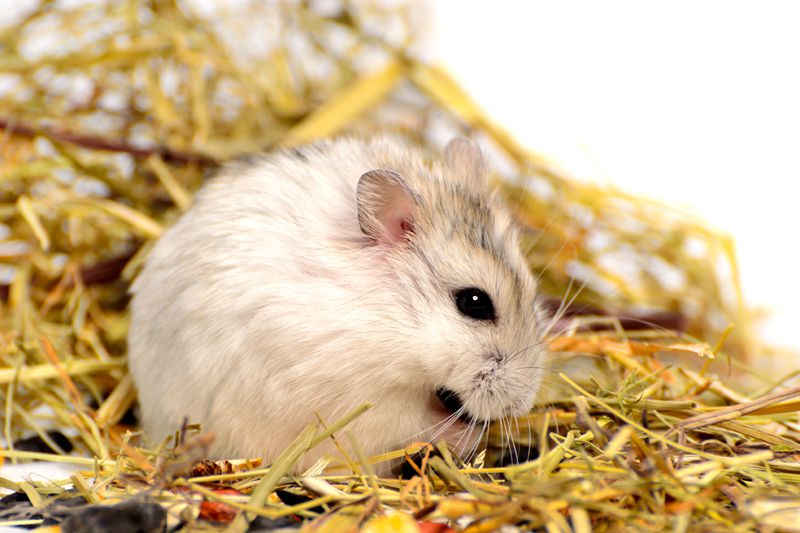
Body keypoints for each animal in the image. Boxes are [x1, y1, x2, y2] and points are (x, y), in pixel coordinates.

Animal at [127, 136, 548, 473]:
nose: (521, 406)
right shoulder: (362, 405)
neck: (389, 321)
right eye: (474, 302)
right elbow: (416, 424)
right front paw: (467, 435)